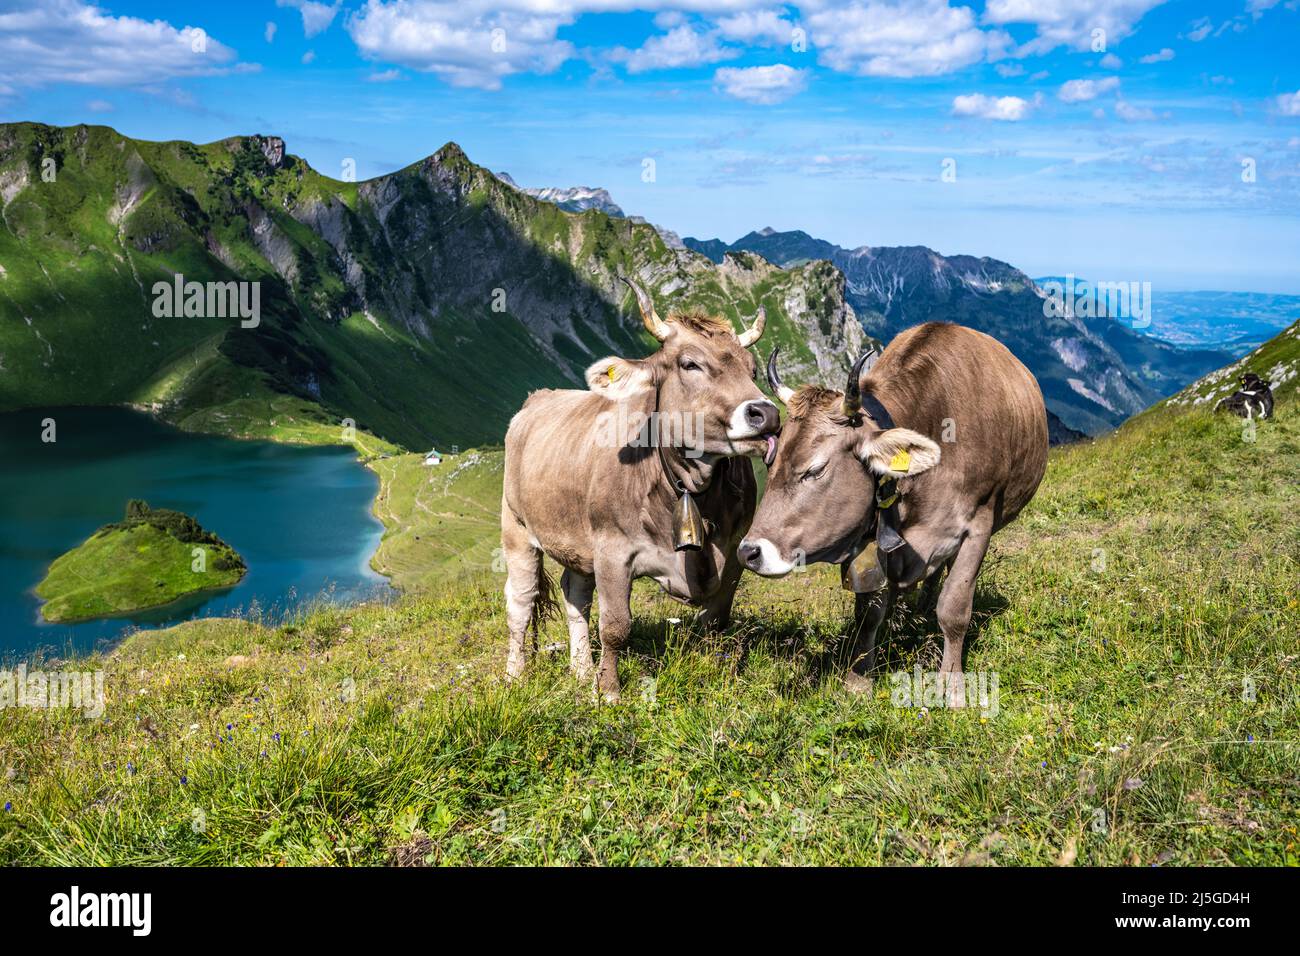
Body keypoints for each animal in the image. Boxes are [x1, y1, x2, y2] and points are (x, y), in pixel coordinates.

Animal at [501, 277, 774, 702]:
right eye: (690, 363)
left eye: (753, 369)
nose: (767, 414)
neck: (689, 487)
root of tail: (539, 397)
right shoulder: (612, 550)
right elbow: (616, 626)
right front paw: (610, 692)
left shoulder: (733, 551)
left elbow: (717, 619)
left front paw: (714, 676)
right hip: (515, 526)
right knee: (521, 602)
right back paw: (516, 675)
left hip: (578, 540)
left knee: (574, 594)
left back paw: (582, 671)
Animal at [738, 321, 1050, 702]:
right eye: (770, 462)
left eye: (815, 469)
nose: (748, 552)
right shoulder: (874, 539)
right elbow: (869, 613)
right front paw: (859, 680)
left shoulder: (979, 524)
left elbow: (955, 609)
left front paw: (954, 687)